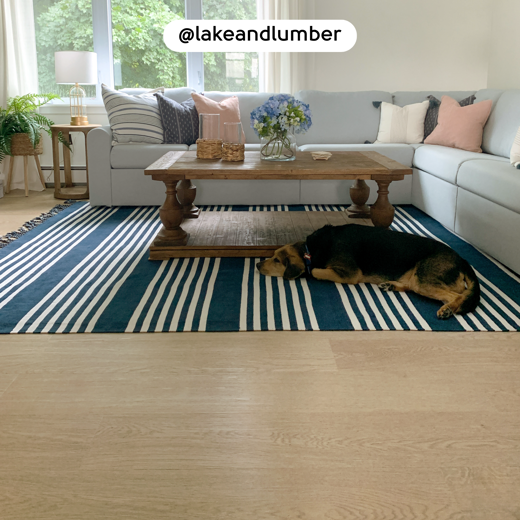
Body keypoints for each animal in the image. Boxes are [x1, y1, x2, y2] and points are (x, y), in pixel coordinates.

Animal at [258, 222, 482, 318]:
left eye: (277, 260)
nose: (258, 265)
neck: (310, 249)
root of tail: (462, 259)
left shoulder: (349, 273)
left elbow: (314, 271)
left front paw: (310, 271)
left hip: (424, 278)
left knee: (457, 295)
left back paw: (448, 309)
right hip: (417, 278)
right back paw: (391, 285)